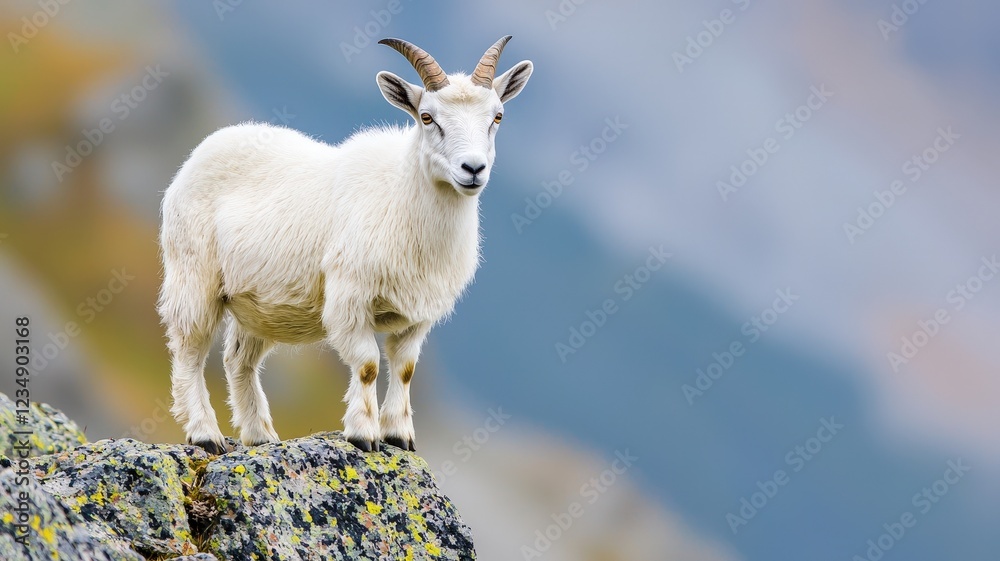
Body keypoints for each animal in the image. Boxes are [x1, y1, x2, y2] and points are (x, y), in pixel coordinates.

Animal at [158, 37, 532, 453]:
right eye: (427, 117)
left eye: (497, 116)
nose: (473, 169)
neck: (401, 197)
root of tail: (204, 149)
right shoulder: (350, 297)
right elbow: (367, 365)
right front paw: (364, 433)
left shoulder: (418, 315)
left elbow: (404, 368)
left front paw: (399, 435)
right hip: (194, 276)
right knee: (189, 349)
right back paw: (205, 433)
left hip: (258, 304)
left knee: (238, 359)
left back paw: (260, 435)